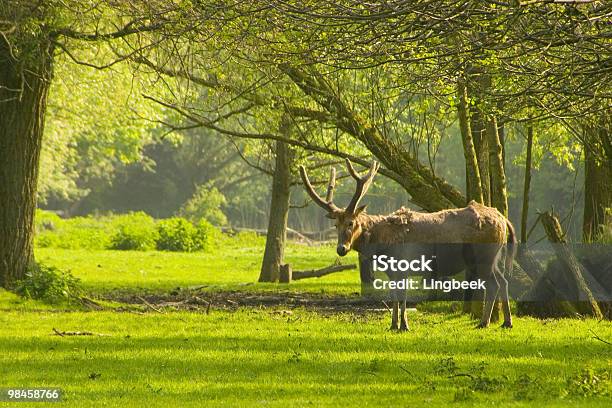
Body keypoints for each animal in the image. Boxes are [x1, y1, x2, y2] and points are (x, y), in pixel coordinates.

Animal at [298, 159, 516, 332]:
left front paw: (404, 325)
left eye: (351, 223)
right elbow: (395, 296)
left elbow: (402, 297)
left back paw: (484, 322)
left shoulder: (403, 262)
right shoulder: (393, 270)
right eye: (336, 225)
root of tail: (503, 219)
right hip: (494, 257)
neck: (384, 244)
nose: (341, 249)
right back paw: (506, 322)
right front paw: (393, 324)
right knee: (504, 280)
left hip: (484, 255)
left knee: (494, 284)